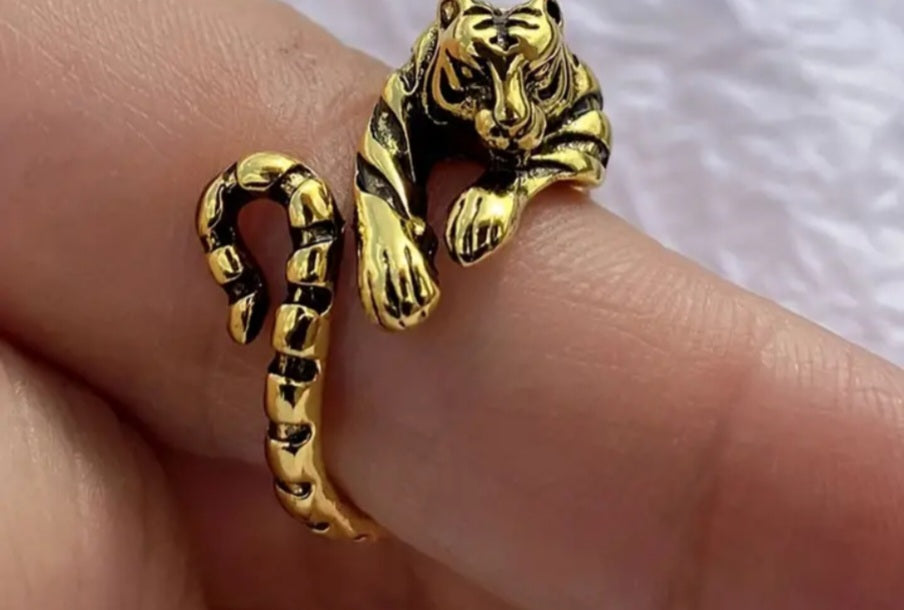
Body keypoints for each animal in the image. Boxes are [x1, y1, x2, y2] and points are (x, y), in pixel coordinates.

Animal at [355, 0, 612, 331]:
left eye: (539, 72)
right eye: (472, 74)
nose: (511, 123)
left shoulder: (588, 126)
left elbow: (529, 162)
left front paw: (477, 216)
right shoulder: (391, 121)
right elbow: (383, 192)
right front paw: (398, 276)